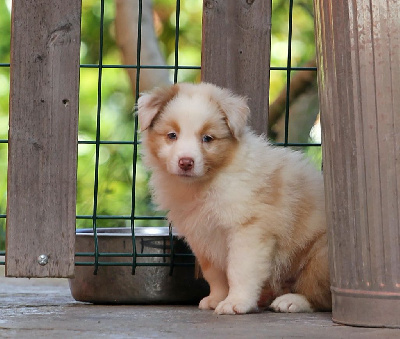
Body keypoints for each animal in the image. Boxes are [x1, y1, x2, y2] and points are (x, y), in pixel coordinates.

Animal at [138, 83, 332, 316]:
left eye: (207, 138)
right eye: (172, 135)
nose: (186, 162)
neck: (206, 183)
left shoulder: (248, 228)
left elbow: (239, 270)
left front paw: (236, 302)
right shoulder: (202, 236)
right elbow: (215, 274)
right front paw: (217, 298)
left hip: (320, 257)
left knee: (321, 296)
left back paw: (291, 301)